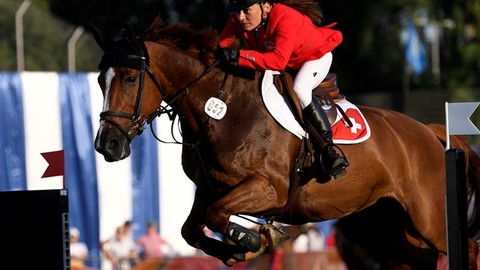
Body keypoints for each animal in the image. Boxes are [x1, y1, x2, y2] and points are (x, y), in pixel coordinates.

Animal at [92, 20, 480, 268]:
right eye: (99, 81)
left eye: (130, 78)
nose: (106, 145)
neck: (220, 108)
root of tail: (430, 132)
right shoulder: (211, 190)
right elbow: (191, 229)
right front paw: (240, 250)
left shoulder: (270, 189)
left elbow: (217, 217)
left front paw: (253, 241)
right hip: (380, 229)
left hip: (430, 219)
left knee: (466, 247)